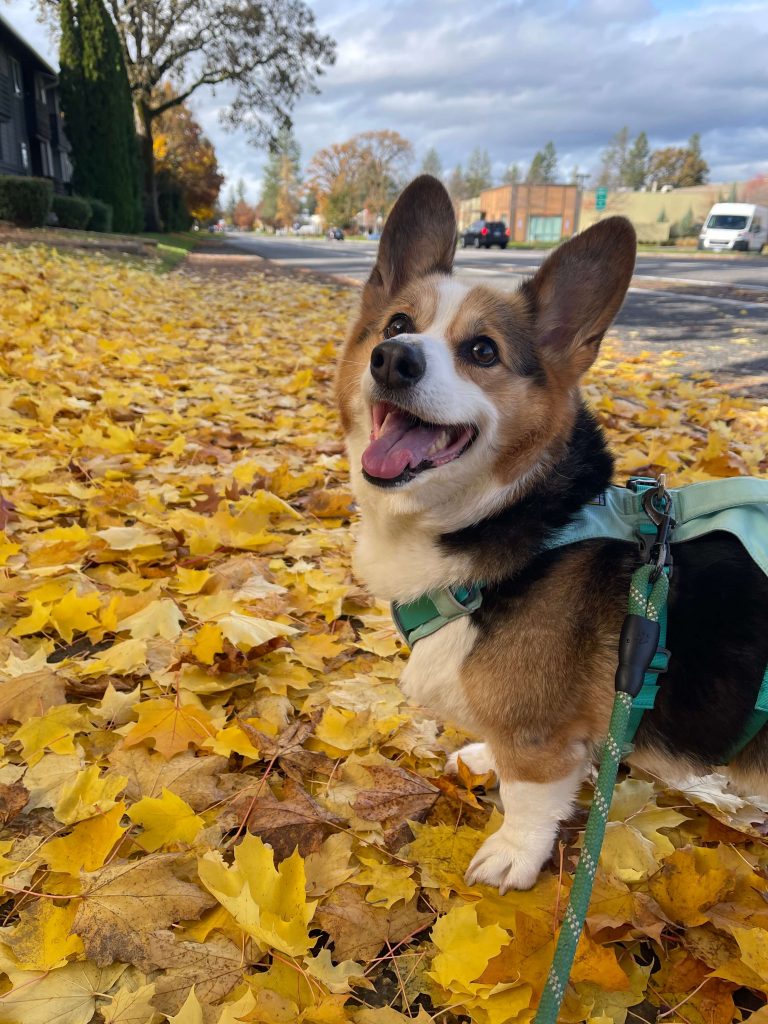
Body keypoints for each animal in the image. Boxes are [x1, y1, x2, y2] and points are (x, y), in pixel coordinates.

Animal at [335, 174, 768, 888]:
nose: (392, 359)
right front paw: (485, 756)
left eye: (482, 351)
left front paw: (513, 854)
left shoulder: (542, 740)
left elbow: (530, 797)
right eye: (398, 324)